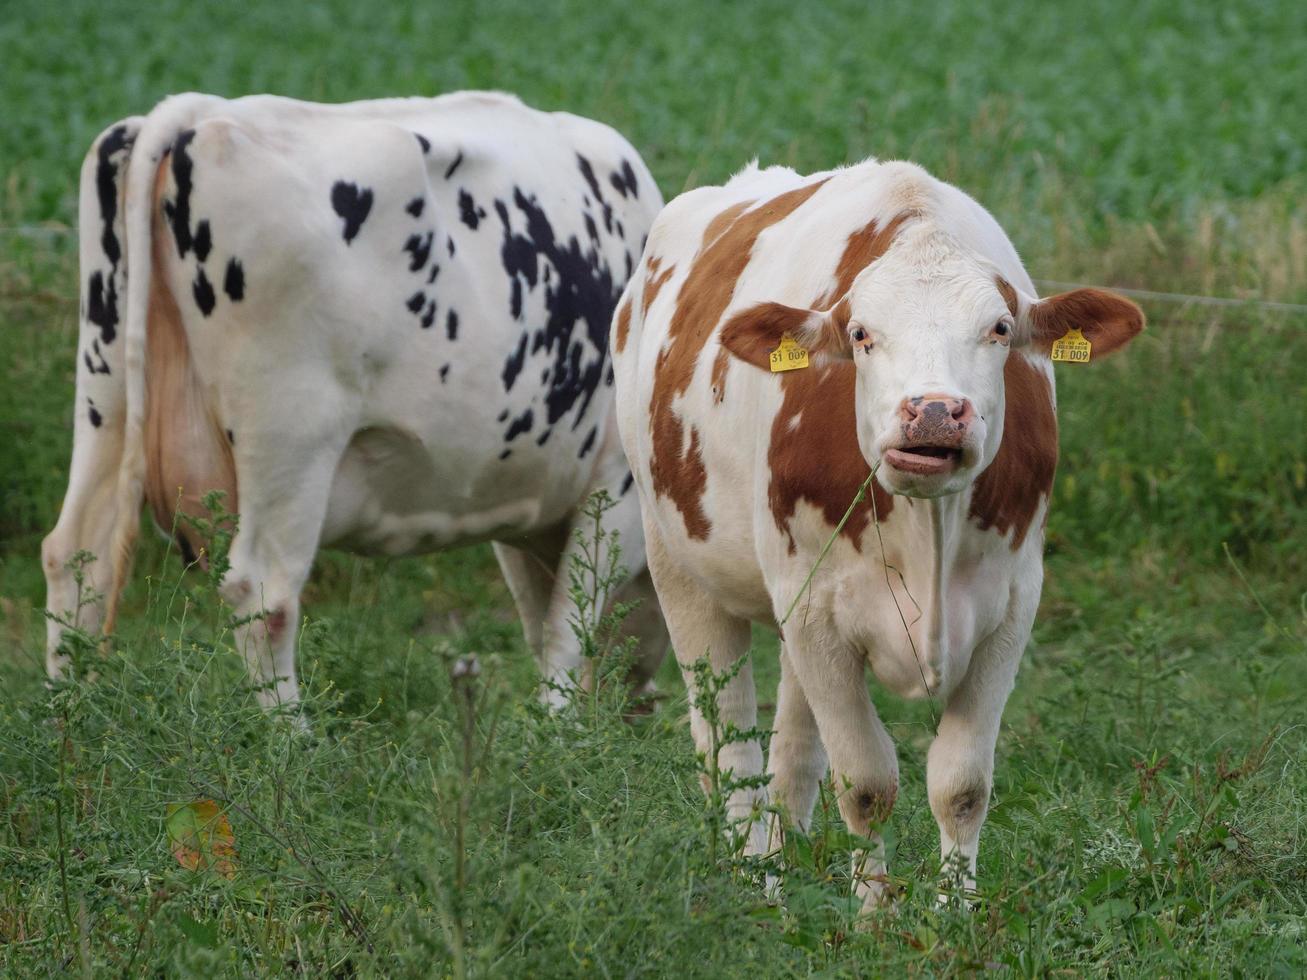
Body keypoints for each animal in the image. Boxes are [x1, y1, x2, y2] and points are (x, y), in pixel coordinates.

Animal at [44, 92, 669, 710]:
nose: (639, 708)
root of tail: (199, 112)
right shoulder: (611, 488)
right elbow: (568, 632)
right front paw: (561, 730)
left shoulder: (529, 510)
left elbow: (541, 627)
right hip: (290, 435)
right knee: (262, 595)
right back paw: (287, 736)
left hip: (105, 392)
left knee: (78, 559)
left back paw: (67, 722)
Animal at [616, 157, 1139, 909]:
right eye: (861, 333)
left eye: (999, 327)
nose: (933, 411)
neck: (928, 531)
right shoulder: (815, 614)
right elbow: (865, 784)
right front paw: (874, 917)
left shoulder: (1010, 608)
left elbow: (960, 784)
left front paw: (954, 912)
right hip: (678, 565)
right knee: (727, 745)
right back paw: (753, 884)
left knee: (790, 754)